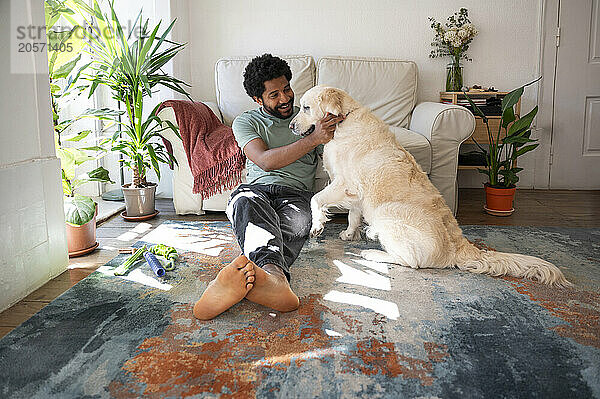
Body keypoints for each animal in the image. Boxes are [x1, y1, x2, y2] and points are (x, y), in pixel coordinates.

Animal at [290, 86, 572, 288]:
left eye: (305, 107)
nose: (291, 125)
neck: (343, 122)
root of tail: (460, 247)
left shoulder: (345, 183)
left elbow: (316, 200)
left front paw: (317, 226)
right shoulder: (356, 192)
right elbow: (352, 214)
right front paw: (349, 234)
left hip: (385, 212)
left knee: (411, 262)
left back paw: (373, 253)